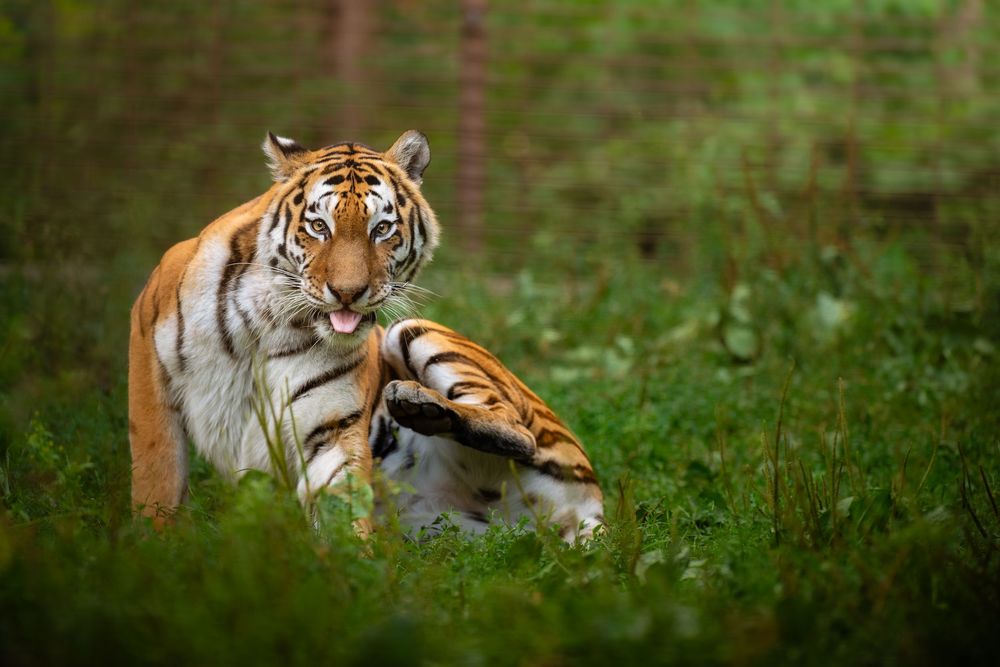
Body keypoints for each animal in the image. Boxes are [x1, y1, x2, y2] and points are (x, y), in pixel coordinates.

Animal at [128, 130, 603, 541]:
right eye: (319, 227)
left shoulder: (332, 428)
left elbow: (342, 508)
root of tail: (589, 512)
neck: (267, 317)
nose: (348, 293)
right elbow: (157, 474)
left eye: (382, 229)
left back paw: (420, 404)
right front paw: (153, 547)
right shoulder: (148, 361)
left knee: (518, 430)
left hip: (414, 331)